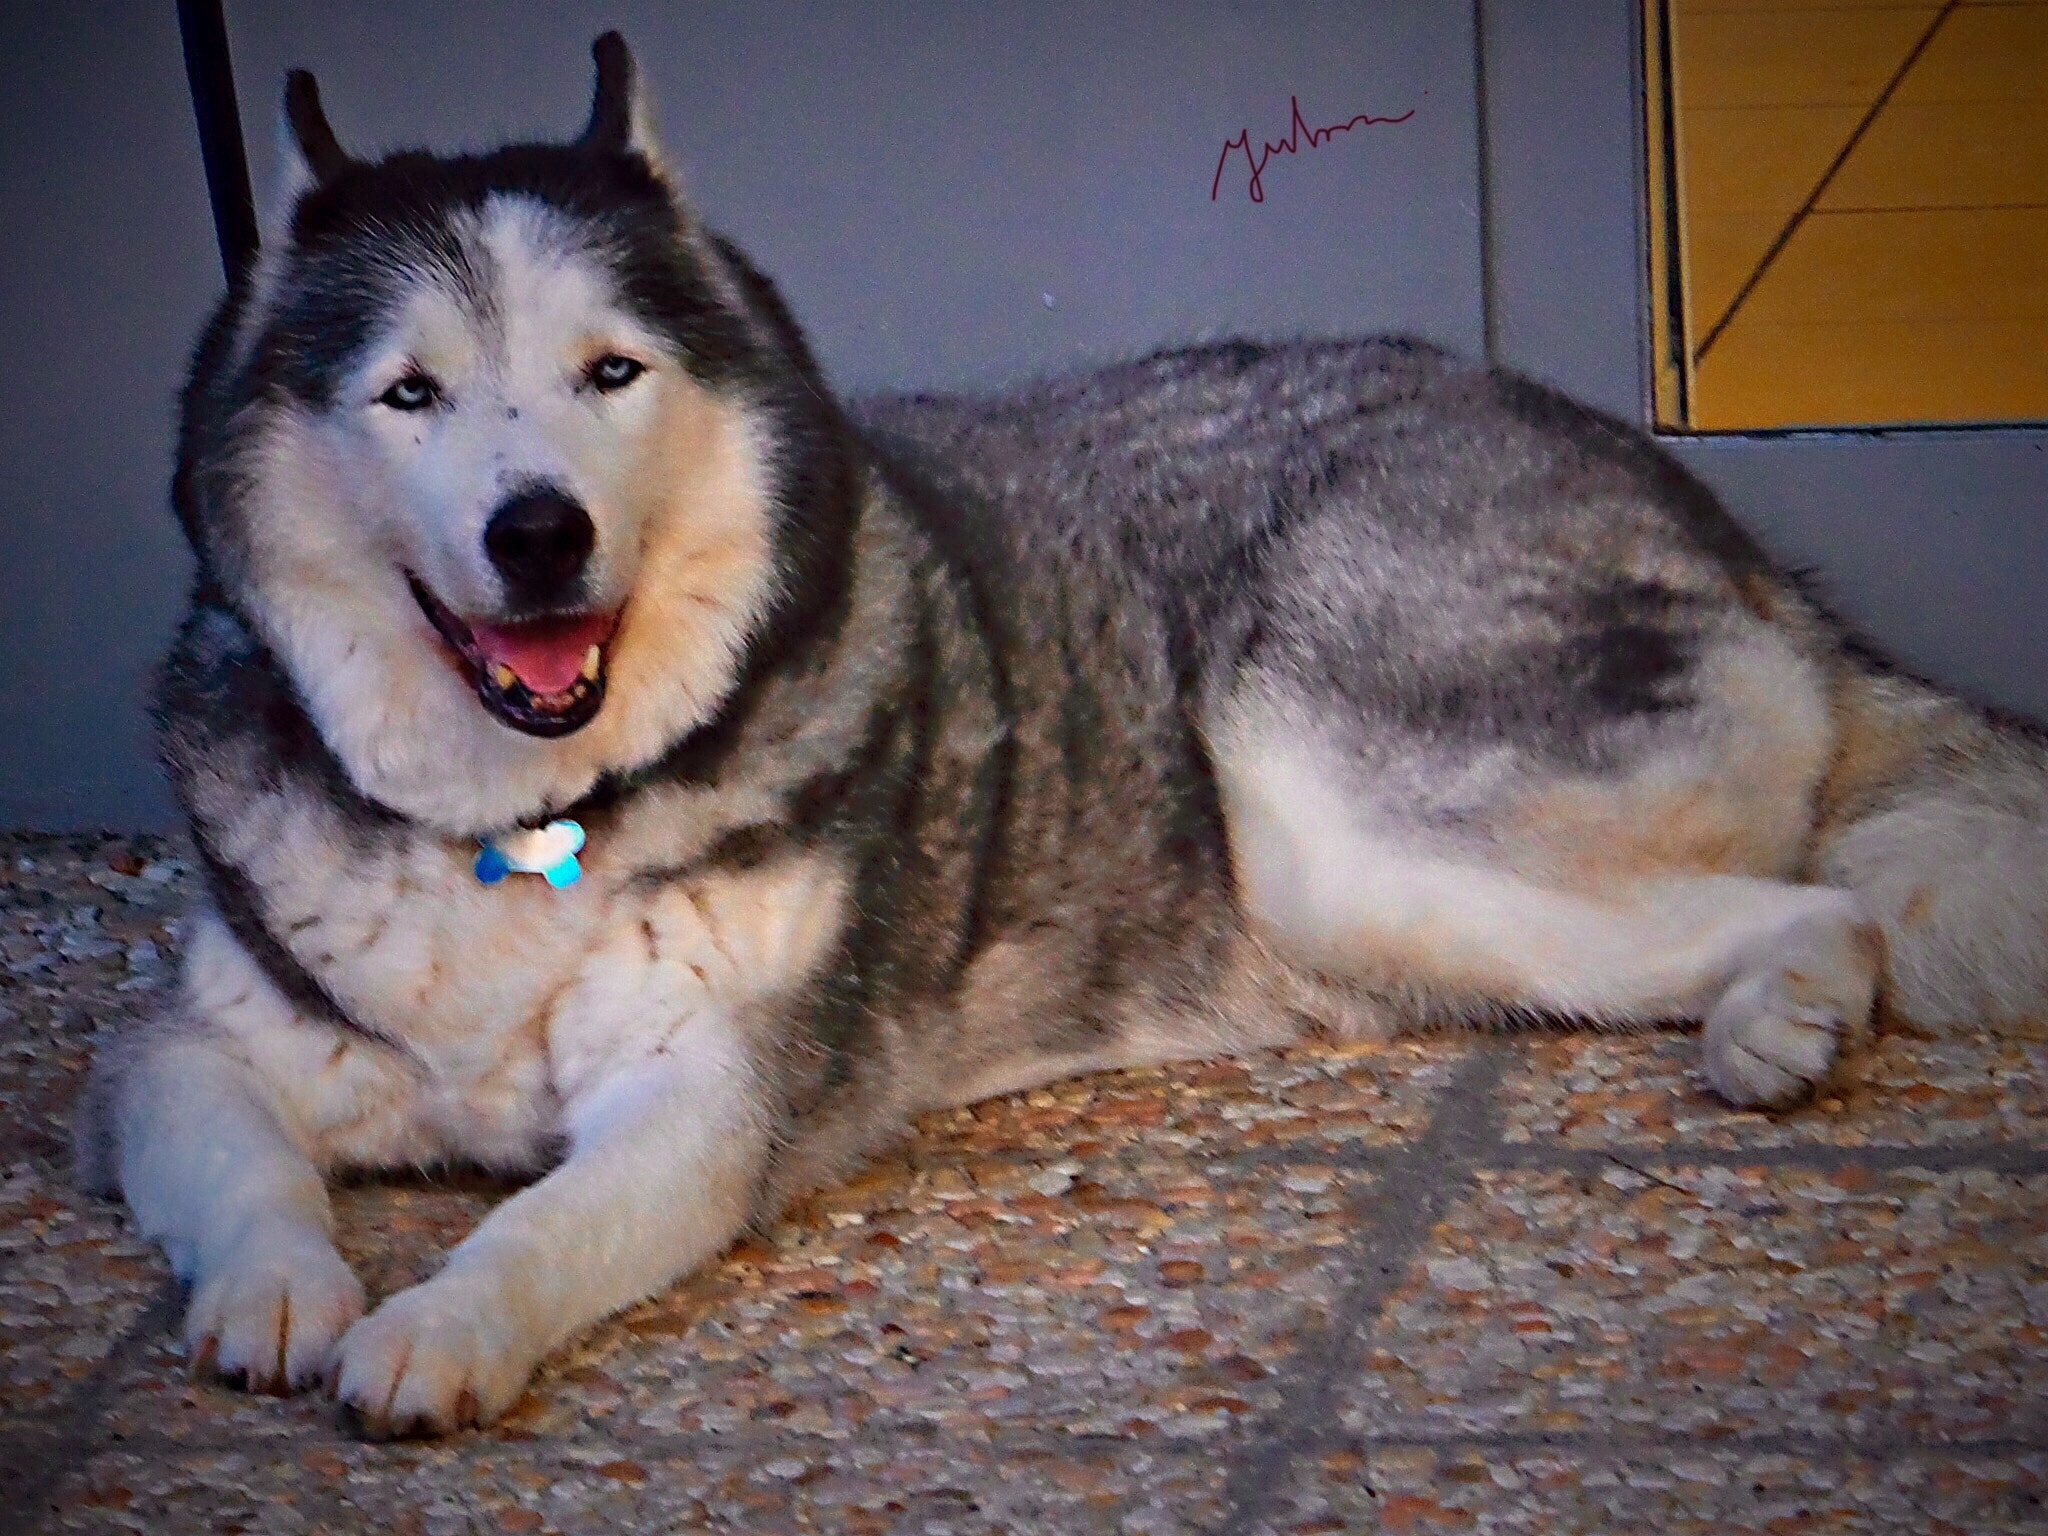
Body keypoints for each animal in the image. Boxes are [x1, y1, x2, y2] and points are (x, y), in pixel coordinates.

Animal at [79, 33, 2048, 1433]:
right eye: (407, 392)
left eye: (609, 373)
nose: (537, 533)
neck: (527, 825)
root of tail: (1733, 539)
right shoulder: (193, 1045)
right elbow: (225, 1140)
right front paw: (273, 1288)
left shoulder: (711, 1100)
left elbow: (536, 1223)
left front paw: (439, 1321)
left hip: (1320, 812)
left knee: (1826, 905)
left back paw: (1788, 1013)